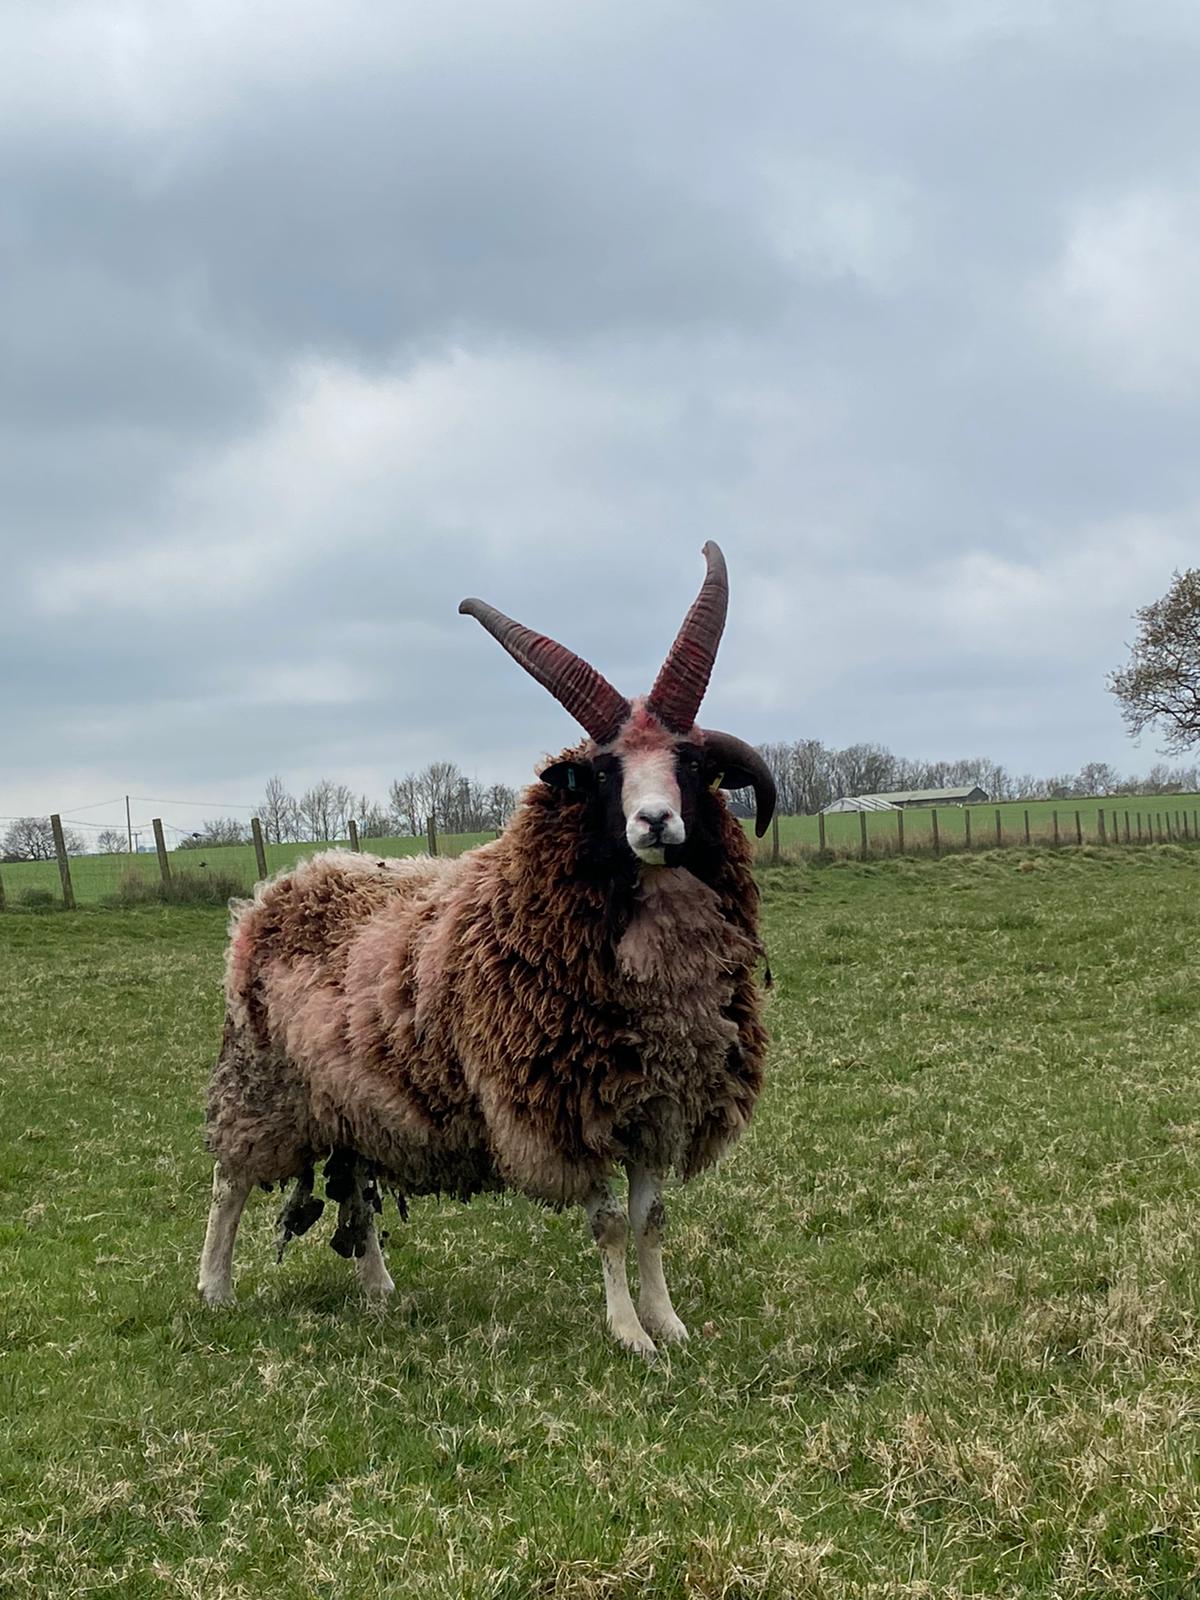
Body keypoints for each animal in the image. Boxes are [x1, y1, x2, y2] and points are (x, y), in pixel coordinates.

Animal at [198, 542, 776, 1355]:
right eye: (604, 772)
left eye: (690, 764)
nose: (656, 823)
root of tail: (281, 884)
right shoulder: (564, 1109)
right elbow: (608, 1227)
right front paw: (628, 1334)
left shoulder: (656, 1105)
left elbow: (651, 1222)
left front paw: (670, 1324)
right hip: (263, 1084)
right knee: (231, 1181)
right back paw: (215, 1288)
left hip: (350, 1099)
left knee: (356, 1187)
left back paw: (379, 1291)